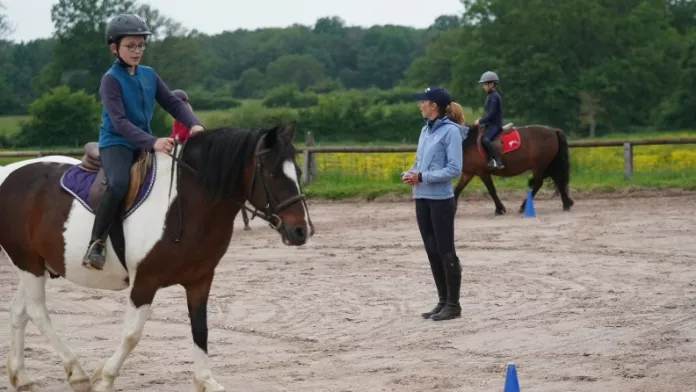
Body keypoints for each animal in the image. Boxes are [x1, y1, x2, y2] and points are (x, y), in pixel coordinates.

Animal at [0, 121, 312, 390]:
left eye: (297, 171)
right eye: (273, 174)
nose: (300, 231)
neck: (184, 202)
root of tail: (8, 172)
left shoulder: (200, 279)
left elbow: (200, 328)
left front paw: (205, 380)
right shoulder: (145, 282)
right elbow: (131, 335)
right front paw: (106, 377)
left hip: (36, 265)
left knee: (19, 310)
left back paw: (22, 376)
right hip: (28, 262)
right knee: (37, 312)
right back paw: (77, 373)